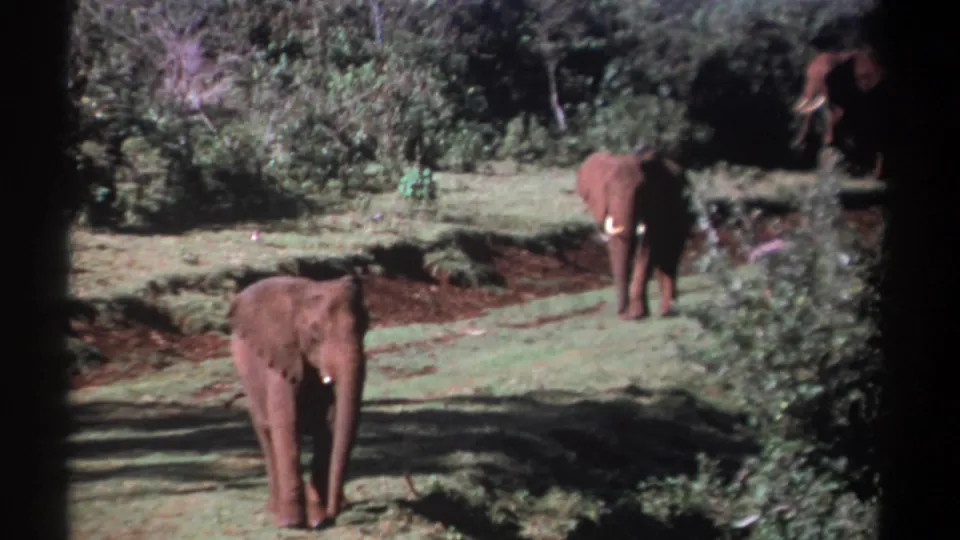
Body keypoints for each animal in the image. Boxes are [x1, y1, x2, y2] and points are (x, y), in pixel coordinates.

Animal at [228, 274, 369, 530]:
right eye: (315, 333)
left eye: (366, 327)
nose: (333, 514)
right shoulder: (281, 357)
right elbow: (287, 424)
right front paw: (293, 523)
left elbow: (330, 425)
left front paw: (318, 518)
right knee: (266, 434)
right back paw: (275, 510)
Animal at [576, 145, 696, 320]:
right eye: (607, 189)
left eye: (641, 191)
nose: (621, 313)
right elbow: (618, 247)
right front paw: (634, 314)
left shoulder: (656, 203)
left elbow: (648, 248)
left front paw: (636, 315)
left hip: (684, 213)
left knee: (670, 257)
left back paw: (668, 311)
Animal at [792, 48, 887, 178]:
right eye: (806, 77)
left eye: (826, 77)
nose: (796, 146)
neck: (838, 57)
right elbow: (835, 113)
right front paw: (828, 142)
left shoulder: (857, 89)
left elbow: (840, 113)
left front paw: (827, 141)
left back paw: (873, 175)